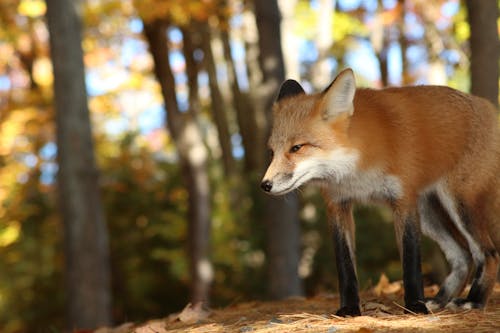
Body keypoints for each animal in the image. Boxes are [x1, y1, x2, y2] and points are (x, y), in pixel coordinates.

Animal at [262, 68, 500, 316]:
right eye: (271, 152)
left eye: (297, 148)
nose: (265, 185)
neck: (357, 171)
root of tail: (486, 105)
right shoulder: (337, 205)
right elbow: (345, 265)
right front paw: (349, 309)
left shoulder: (404, 200)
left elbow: (411, 261)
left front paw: (414, 306)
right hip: (429, 214)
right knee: (463, 256)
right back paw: (440, 300)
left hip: (459, 204)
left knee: (488, 253)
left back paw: (473, 301)